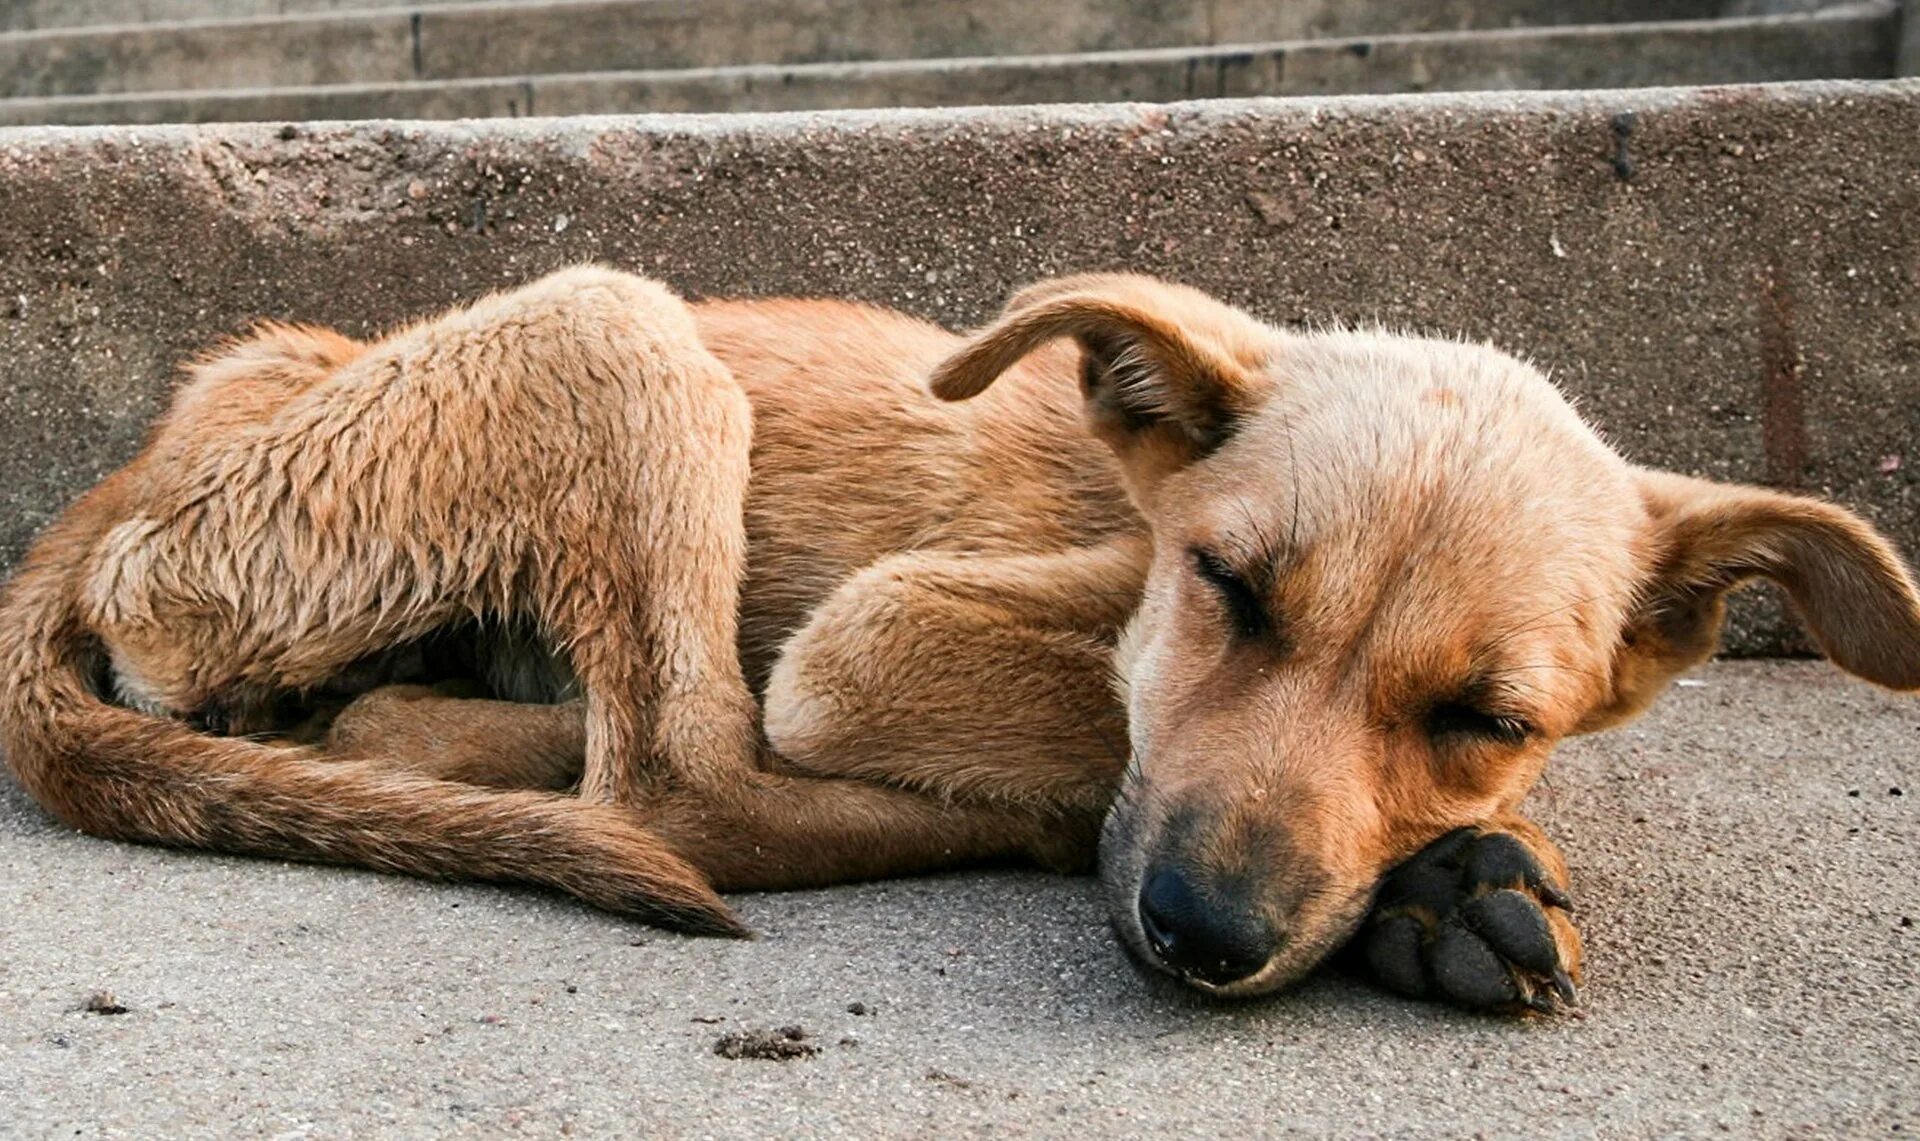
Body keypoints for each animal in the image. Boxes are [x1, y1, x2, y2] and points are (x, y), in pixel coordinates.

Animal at [3, 261, 1920, 1006]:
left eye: (1488, 716)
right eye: (1229, 589)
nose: (1207, 935)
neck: (1126, 515)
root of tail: (141, 467)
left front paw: (1448, 868)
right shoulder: (875, 634)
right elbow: (1090, 731)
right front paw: (1432, 884)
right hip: (619, 328)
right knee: (687, 783)